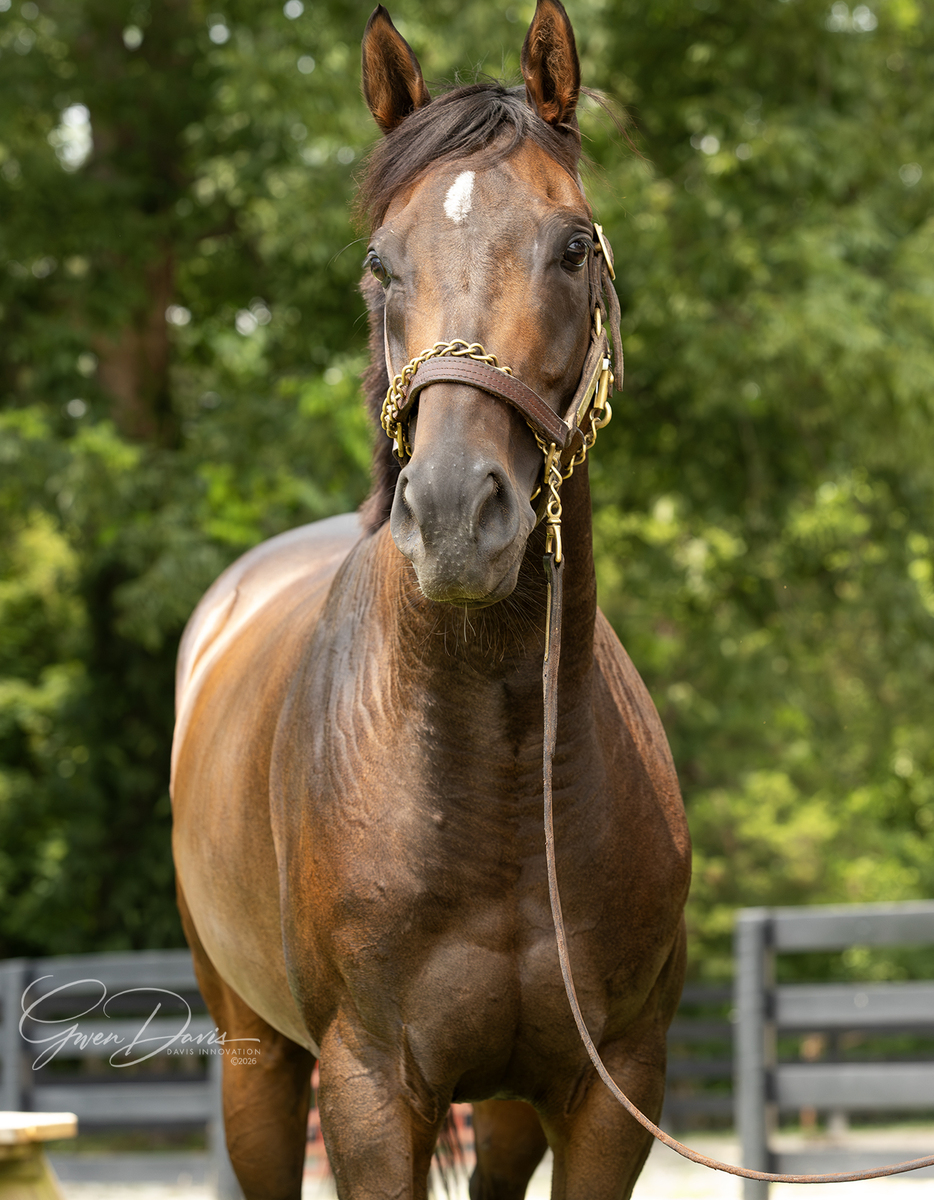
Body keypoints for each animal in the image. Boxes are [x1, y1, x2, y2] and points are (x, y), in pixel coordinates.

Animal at [170, 2, 691, 1197]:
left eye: (573, 245)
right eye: (380, 261)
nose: (455, 513)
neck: (493, 775)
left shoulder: (613, 1092)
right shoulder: (367, 1093)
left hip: (500, 1110)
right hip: (256, 1059)